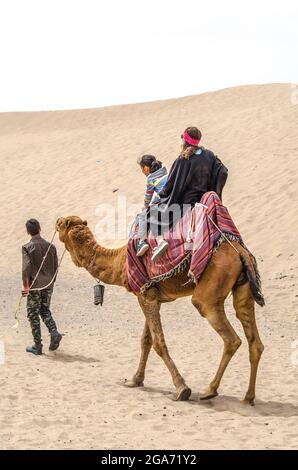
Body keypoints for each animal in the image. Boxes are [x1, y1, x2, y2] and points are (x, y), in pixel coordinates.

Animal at [55, 217, 264, 404]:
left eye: (61, 224)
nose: (56, 221)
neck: (119, 261)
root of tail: (240, 252)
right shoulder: (151, 297)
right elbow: (146, 340)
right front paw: (135, 380)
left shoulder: (145, 296)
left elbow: (158, 343)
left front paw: (181, 388)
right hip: (243, 290)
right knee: (254, 340)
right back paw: (248, 397)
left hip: (209, 294)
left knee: (231, 338)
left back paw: (209, 390)